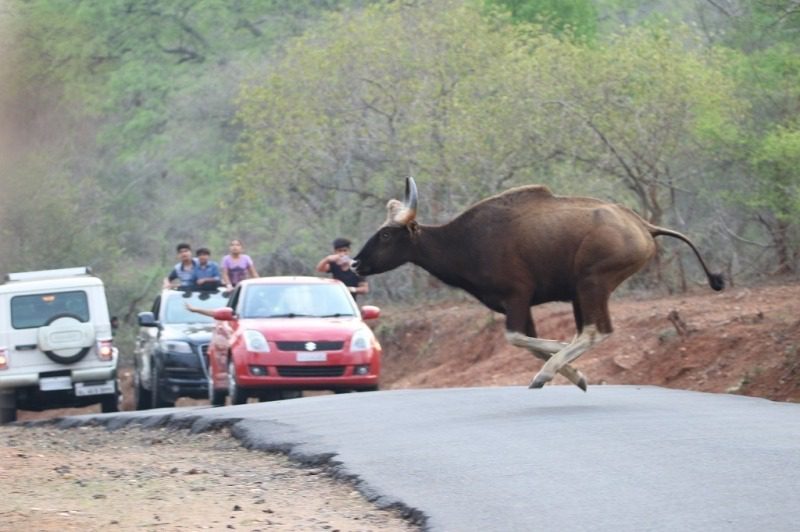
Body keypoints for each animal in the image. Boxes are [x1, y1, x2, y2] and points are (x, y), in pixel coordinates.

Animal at [354, 179, 720, 390]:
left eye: (386, 235)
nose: (355, 263)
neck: (464, 242)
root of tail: (642, 225)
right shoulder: (518, 306)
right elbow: (529, 343)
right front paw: (576, 374)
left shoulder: (517, 297)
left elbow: (518, 338)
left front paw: (558, 365)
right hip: (581, 291)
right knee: (589, 331)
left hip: (591, 282)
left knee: (595, 331)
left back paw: (545, 374)